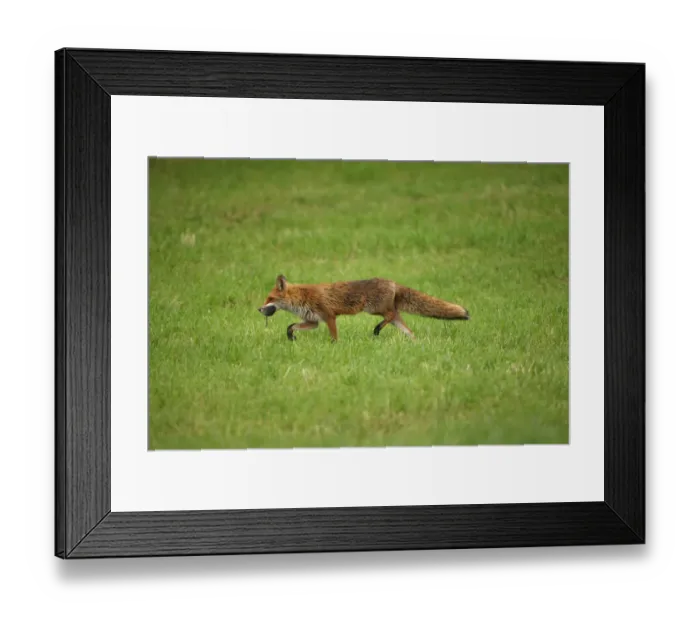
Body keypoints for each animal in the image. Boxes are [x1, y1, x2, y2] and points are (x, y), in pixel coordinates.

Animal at [257, 274, 470, 342]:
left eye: (270, 298)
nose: (259, 309)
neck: (301, 298)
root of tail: (391, 281)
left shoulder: (329, 316)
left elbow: (334, 337)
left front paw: (334, 347)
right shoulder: (313, 321)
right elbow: (291, 326)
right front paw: (291, 337)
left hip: (374, 308)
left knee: (389, 315)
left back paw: (376, 329)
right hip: (391, 316)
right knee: (408, 330)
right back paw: (416, 344)